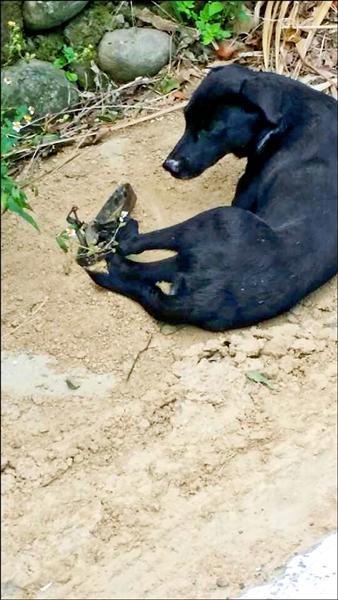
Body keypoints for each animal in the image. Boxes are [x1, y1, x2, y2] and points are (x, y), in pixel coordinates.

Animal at [86, 65, 336, 332]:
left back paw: (122, 233)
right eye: (186, 119)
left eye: (211, 128)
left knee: (128, 250)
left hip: (216, 219)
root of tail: (196, 301)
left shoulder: (244, 193)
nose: (170, 166)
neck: (286, 114)